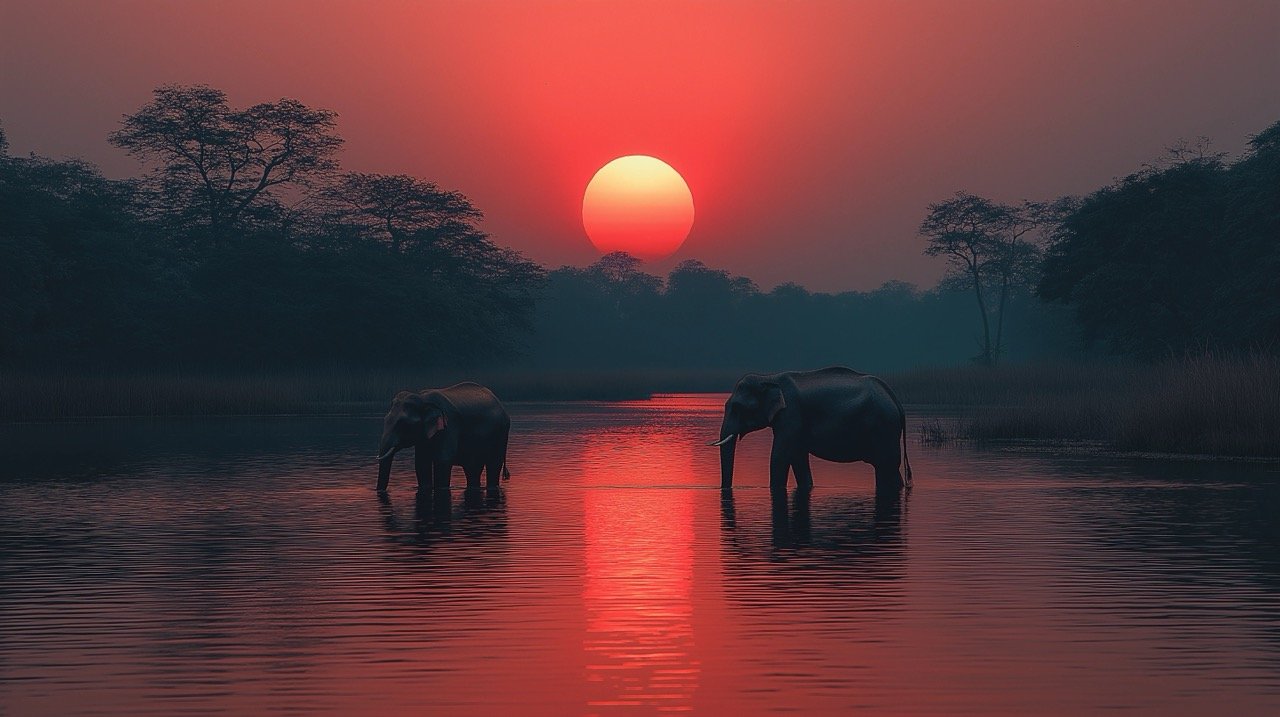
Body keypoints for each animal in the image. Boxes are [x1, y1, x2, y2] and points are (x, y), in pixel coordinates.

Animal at [373, 381, 509, 491]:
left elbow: (443, 460)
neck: (422, 398)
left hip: (500, 435)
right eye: (385, 420)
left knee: (493, 465)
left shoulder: (450, 426)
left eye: (403, 424)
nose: (378, 491)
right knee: (472, 469)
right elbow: (421, 463)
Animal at [711, 366, 911, 496]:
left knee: (887, 466)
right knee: (887, 469)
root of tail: (896, 400)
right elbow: (797, 457)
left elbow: (780, 457)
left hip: (884, 428)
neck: (769, 378)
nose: (726, 490)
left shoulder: (791, 415)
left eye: (737, 407)